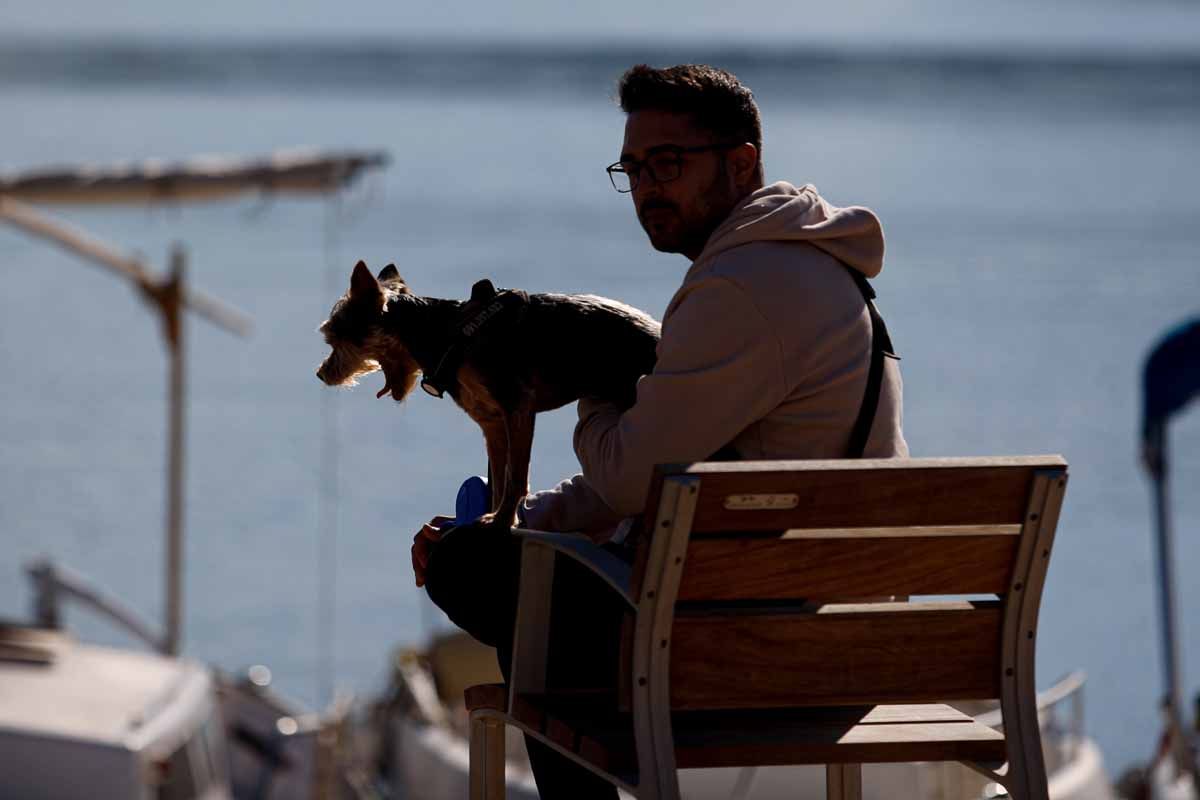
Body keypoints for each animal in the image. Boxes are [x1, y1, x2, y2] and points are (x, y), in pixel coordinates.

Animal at [314, 260, 662, 527]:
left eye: (334, 337)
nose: (321, 373)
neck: (444, 335)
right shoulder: (492, 422)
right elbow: (498, 474)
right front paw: (496, 514)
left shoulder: (517, 406)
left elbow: (515, 475)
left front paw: (503, 520)